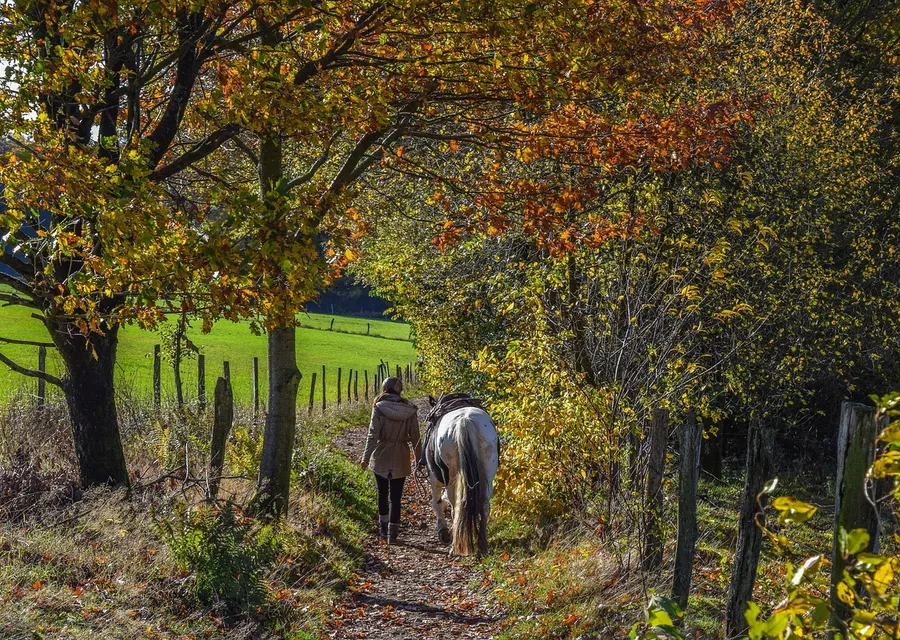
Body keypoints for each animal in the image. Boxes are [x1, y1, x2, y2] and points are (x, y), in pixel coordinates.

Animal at [421, 399, 499, 556]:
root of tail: (465, 421)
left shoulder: (434, 476)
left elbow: (436, 502)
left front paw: (443, 533)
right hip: (488, 473)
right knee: (484, 505)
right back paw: (482, 545)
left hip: (451, 478)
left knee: (455, 506)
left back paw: (454, 547)